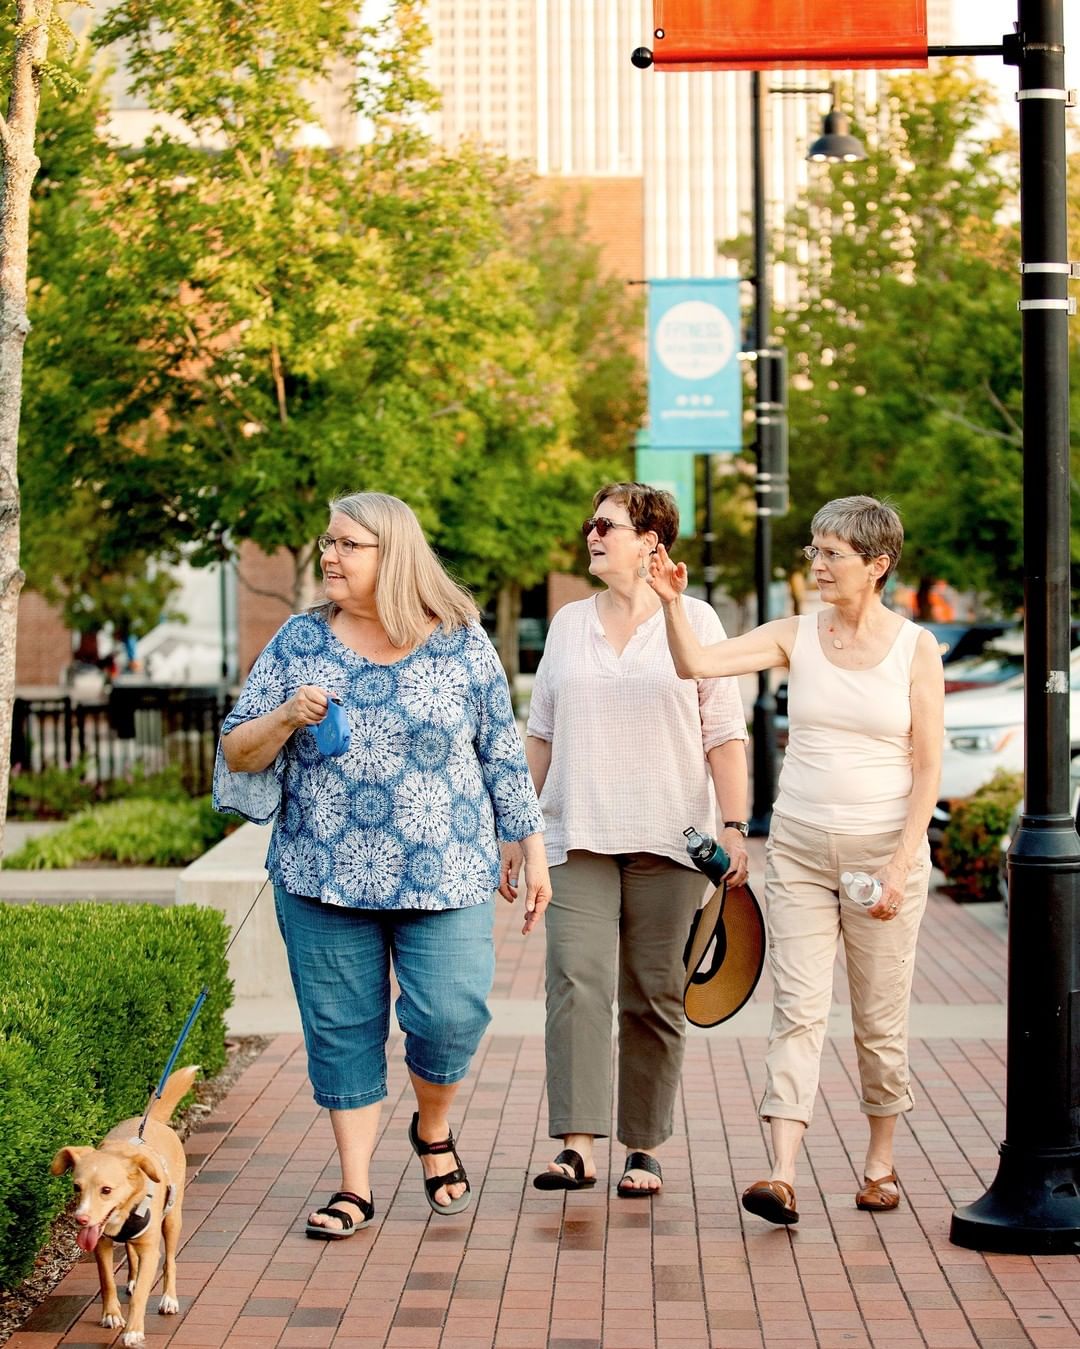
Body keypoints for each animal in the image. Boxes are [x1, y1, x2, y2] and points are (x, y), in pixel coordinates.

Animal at [49, 1068, 196, 1343]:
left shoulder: (150, 1251)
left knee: (170, 1261)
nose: (81, 1219)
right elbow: (106, 1280)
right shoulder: (101, 1244)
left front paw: (134, 1331)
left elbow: (141, 1295)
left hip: (172, 1220)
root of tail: (152, 1120)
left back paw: (168, 1299)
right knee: (129, 1252)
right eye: (76, 1188)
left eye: (106, 1190)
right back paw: (133, 1279)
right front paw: (111, 1315)